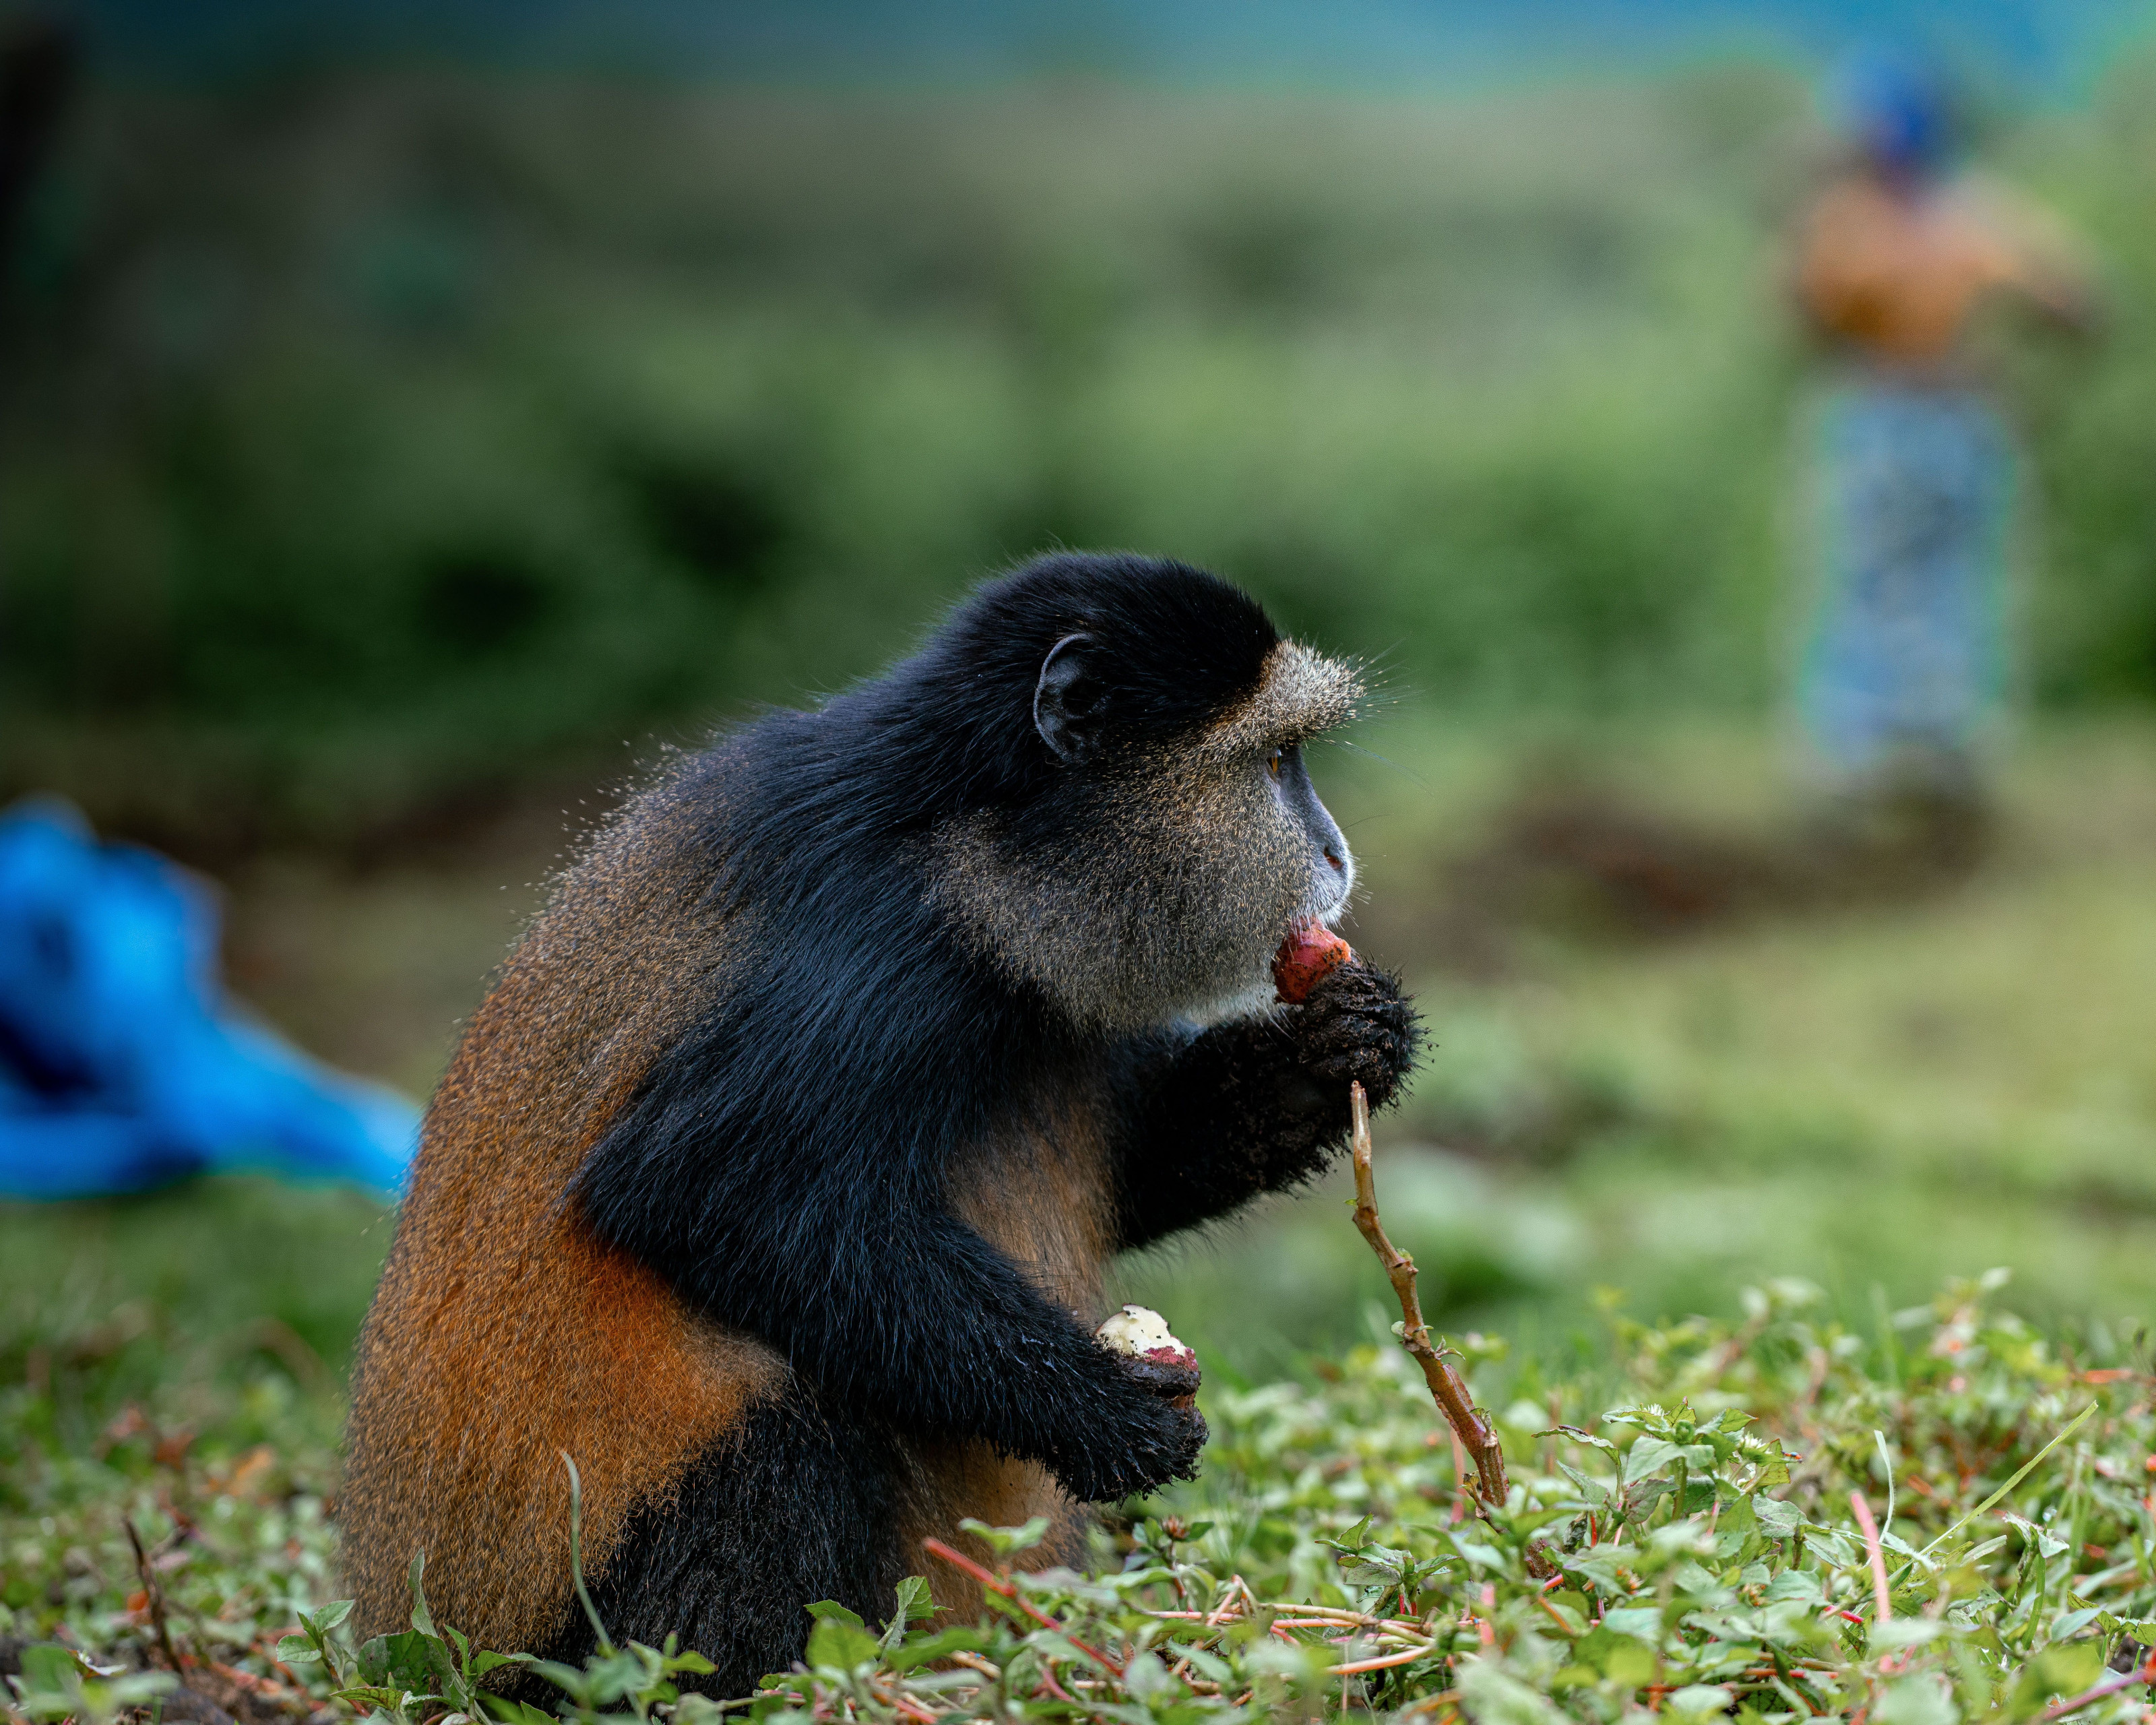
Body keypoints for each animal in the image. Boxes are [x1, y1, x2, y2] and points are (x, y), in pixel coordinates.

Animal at [339, 551, 1419, 1696]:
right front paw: (1108, 1413)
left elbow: (1145, 1161)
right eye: (1277, 760)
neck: (973, 837)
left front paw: (1339, 1045)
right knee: (784, 1421)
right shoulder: (880, 941)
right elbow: (704, 1189)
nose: (1336, 854)